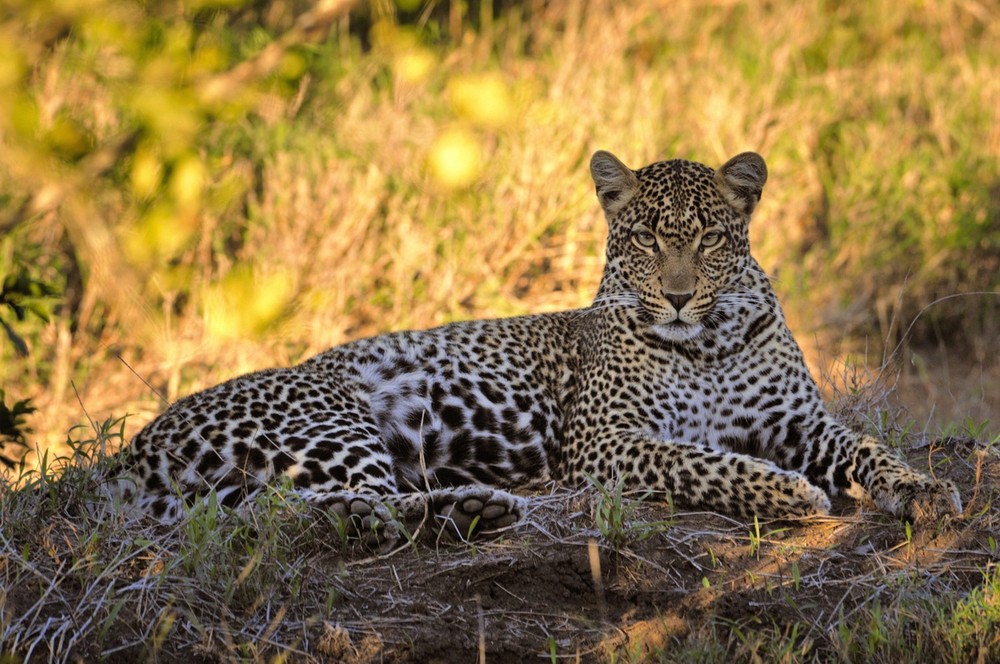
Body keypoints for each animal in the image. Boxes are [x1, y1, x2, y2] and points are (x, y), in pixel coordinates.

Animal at [105, 150, 964, 540]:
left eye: (710, 238)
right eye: (645, 238)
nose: (678, 294)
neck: (710, 341)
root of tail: (127, 453)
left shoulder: (800, 421)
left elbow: (869, 449)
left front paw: (924, 489)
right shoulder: (606, 439)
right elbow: (701, 461)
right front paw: (789, 493)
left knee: (289, 513)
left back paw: (474, 506)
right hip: (333, 415)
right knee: (332, 509)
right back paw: (474, 506)